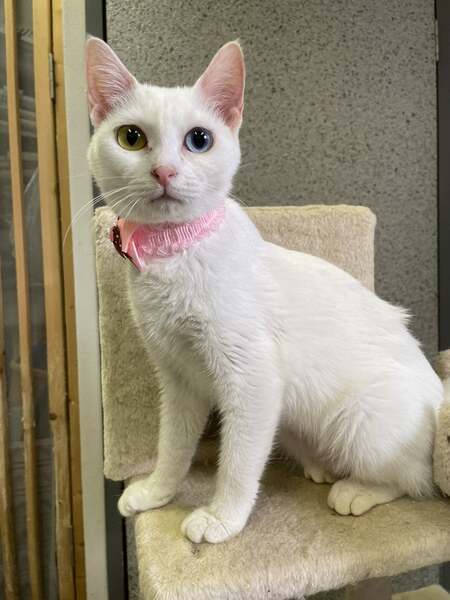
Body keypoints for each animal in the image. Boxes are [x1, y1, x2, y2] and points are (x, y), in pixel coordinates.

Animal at [86, 37, 444, 544]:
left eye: (199, 139)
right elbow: (172, 446)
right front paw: (158, 491)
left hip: (361, 419)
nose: (164, 172)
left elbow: (237, 462)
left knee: (413, 479)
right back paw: (321, 468)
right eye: (131, 137)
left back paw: (355, 491)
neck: (174, 255)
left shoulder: (251, 379)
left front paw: (222, 518)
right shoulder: (177, 380)